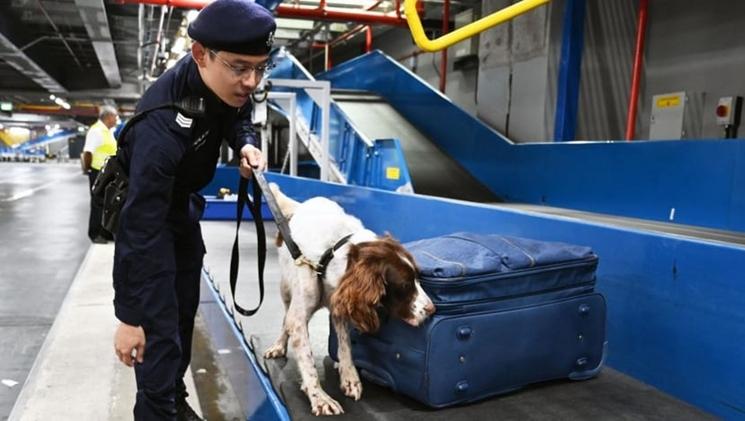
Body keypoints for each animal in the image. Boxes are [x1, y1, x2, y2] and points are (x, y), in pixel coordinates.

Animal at [264, 184, 434, 414]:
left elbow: (345, 344)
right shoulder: (299, 317)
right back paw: (279, 345)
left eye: (417, 277)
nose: (432, 309)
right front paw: (319, 398)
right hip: (286, 290)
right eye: (405, 285)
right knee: (285, 319)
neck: (332, 254)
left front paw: (349, 377)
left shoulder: (340, 303)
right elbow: (307, 360)